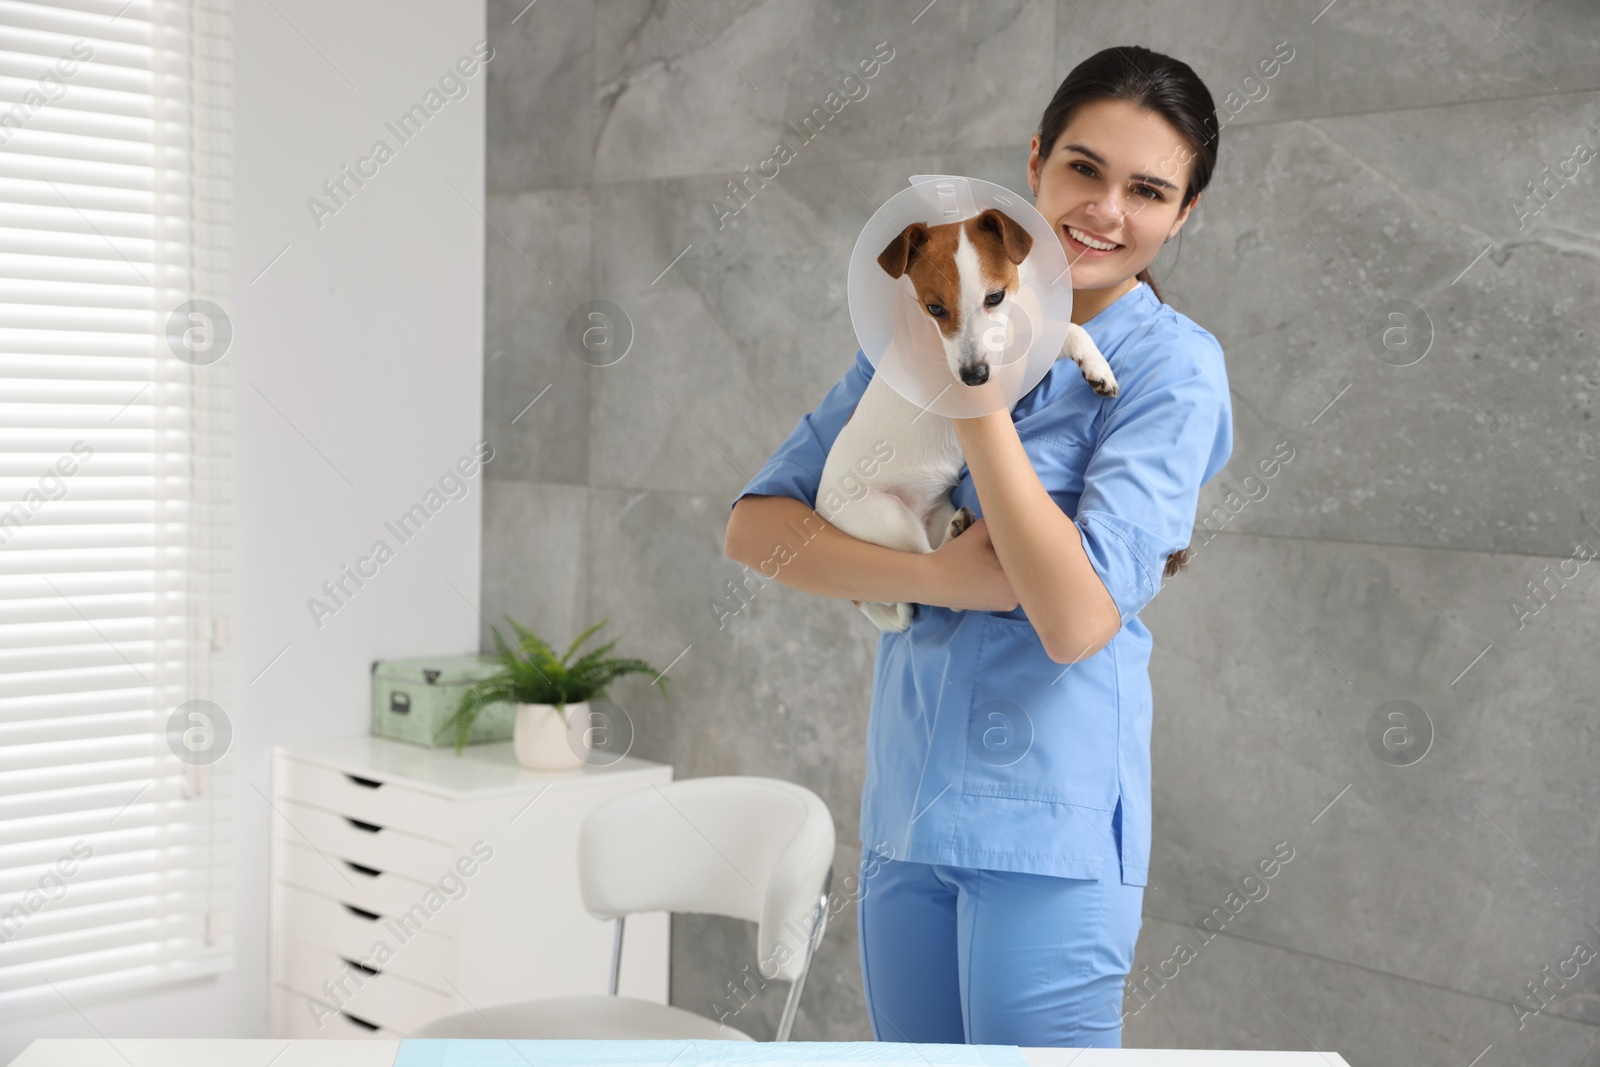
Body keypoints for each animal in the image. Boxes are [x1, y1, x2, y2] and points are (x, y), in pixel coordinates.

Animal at [819, 204, 1171, 630]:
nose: (974, 377)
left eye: (995, 297)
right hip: (887, 518)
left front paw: (1096, 366)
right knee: (936, 575)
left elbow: (1069, 329)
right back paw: (954, 542)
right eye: (934, 309)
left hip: (933, 511)